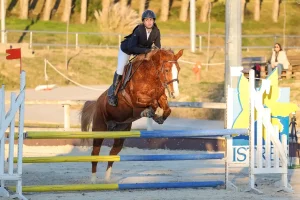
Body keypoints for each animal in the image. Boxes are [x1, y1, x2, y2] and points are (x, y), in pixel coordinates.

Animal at [79, 48, 183, 183]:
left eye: (178, 69)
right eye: (166, 70)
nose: (175, 94)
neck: (151, 77)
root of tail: (97, 103)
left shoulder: (161, 96)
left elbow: (166, 109)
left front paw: (159, 117)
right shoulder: (136, 99)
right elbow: (152, 103)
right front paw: (149, 112)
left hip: (121, 134)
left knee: (113, 154)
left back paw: (107, 180)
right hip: (99, 129)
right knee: (95, 154)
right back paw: (93, 181)